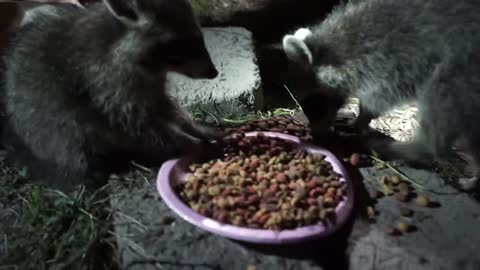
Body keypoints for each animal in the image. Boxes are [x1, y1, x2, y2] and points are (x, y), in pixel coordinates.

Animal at [1, 0, 219, 189]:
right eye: (178, 43)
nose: (214, 72)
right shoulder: (104, 85)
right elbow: (136, 125)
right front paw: (191, 142)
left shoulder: (151, 84)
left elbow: (164, 106)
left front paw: (195, 128)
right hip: (51, 129)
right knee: (73, 143)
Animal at [284, 0, 480, 190]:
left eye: (312, 101)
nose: (316, 136)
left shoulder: (394, 62)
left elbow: (378, 99)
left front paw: (361, 119)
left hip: (458, 73)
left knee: (437, 115)